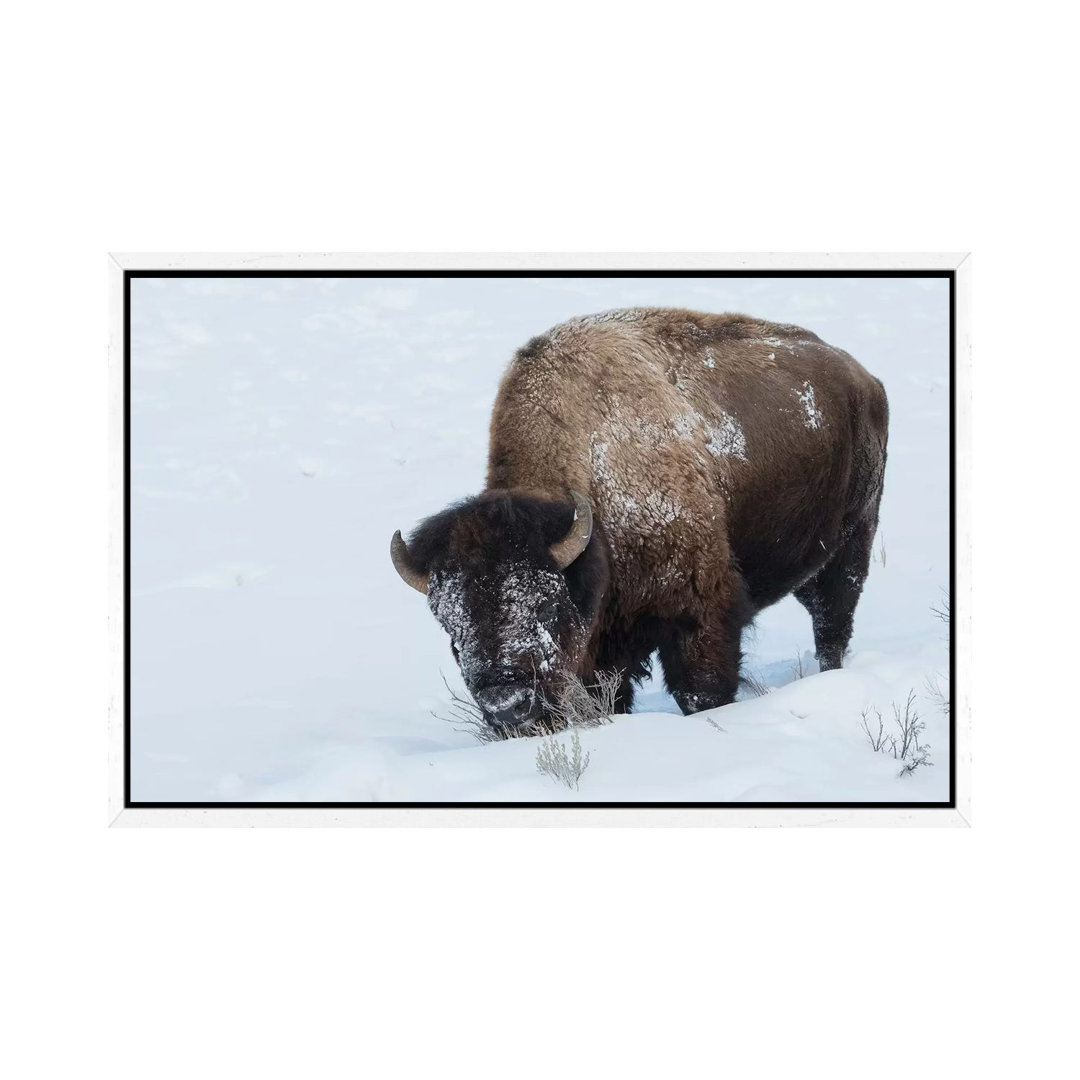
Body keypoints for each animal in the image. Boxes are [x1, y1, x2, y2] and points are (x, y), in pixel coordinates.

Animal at [388, 306, 885, 734]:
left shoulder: (699, 615)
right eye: (451, 631)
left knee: (832, 623)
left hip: (852, 544)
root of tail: (863, 377)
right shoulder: (604, 649)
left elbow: (702, 691)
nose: (508, 708)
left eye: (546, 605)